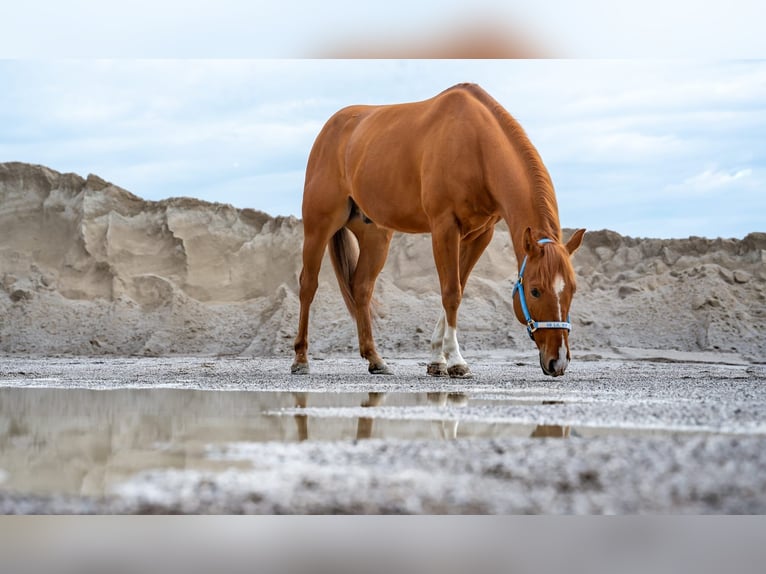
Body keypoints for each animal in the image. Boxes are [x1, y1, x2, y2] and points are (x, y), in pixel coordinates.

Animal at [291, 83, 585, 378]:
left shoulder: (480, 235)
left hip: (375, 236)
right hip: (319, 227)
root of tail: (330, 129)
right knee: (308, 285)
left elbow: (457, 288)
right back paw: (301, 359)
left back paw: (375, 359)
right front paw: (455, 361)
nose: (558, 361)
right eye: (535, 290)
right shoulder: (444, 227)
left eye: (572, 289)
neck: (477, 147)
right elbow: (451, 292)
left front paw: (437, 359)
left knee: (362, 287)